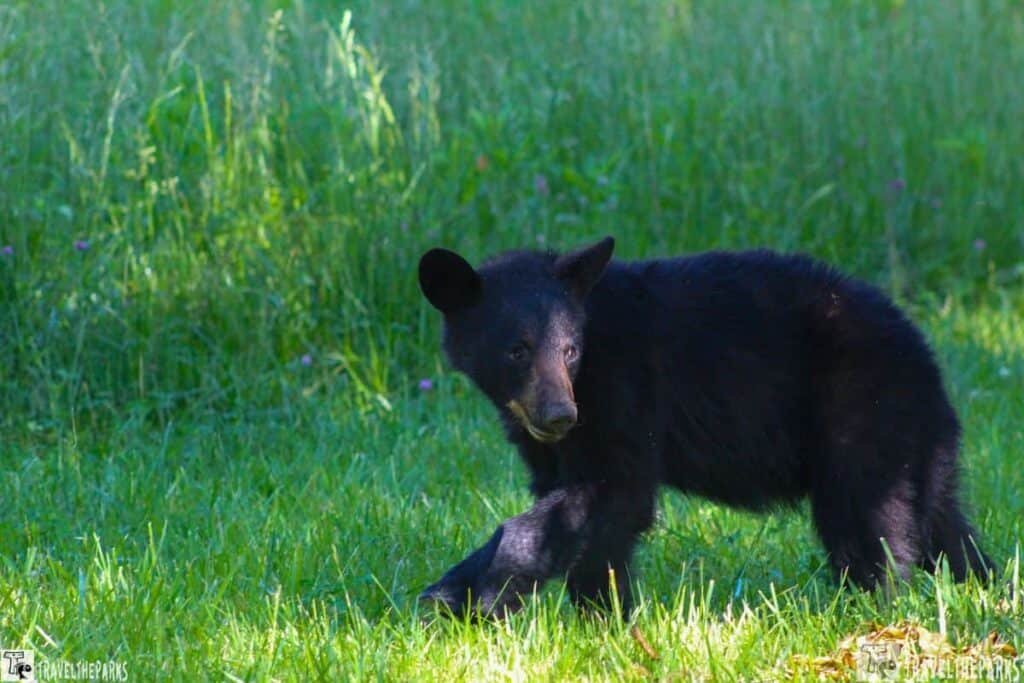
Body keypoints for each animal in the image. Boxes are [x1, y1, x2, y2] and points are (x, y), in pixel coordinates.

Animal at [416, 236, 992, 618]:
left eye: (570, 349)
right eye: (517, 350)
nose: (560, 415)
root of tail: (923, 353)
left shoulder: (627, 391)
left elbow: (615, 491)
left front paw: (482, 592)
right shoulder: (546, 444)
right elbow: (584, 519)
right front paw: (599, 614)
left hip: (861, 411)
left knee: (869, 520)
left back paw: (874, 605)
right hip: (920, 442)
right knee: (942, 521)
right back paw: (980, 584)